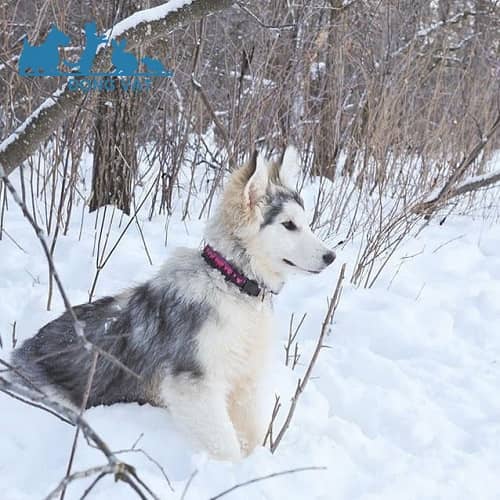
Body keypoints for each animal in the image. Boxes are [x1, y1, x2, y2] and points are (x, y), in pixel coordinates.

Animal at [10, 148, 336, 460]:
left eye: (306, 223)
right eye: (288, 225)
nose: (331, 256)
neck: (232, 283)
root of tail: (17, 354)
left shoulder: (245, 380)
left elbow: (252, 434)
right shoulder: (195, 384)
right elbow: (226, 446)